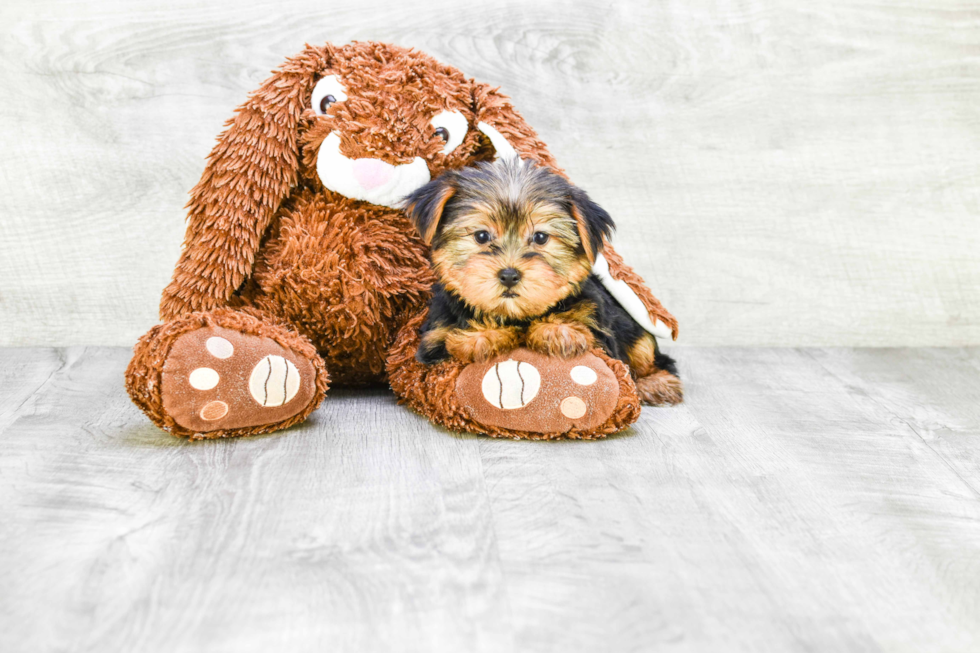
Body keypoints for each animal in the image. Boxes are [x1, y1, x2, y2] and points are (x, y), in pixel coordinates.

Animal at [404, 159, 680, 402]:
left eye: (540, 237)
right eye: (481, 236)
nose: (509, 275)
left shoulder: (600, 332)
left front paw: (558, 330)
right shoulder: (434, 339)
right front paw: (481, 336)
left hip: (635, 331)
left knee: (651, 356)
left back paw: (657, 383)